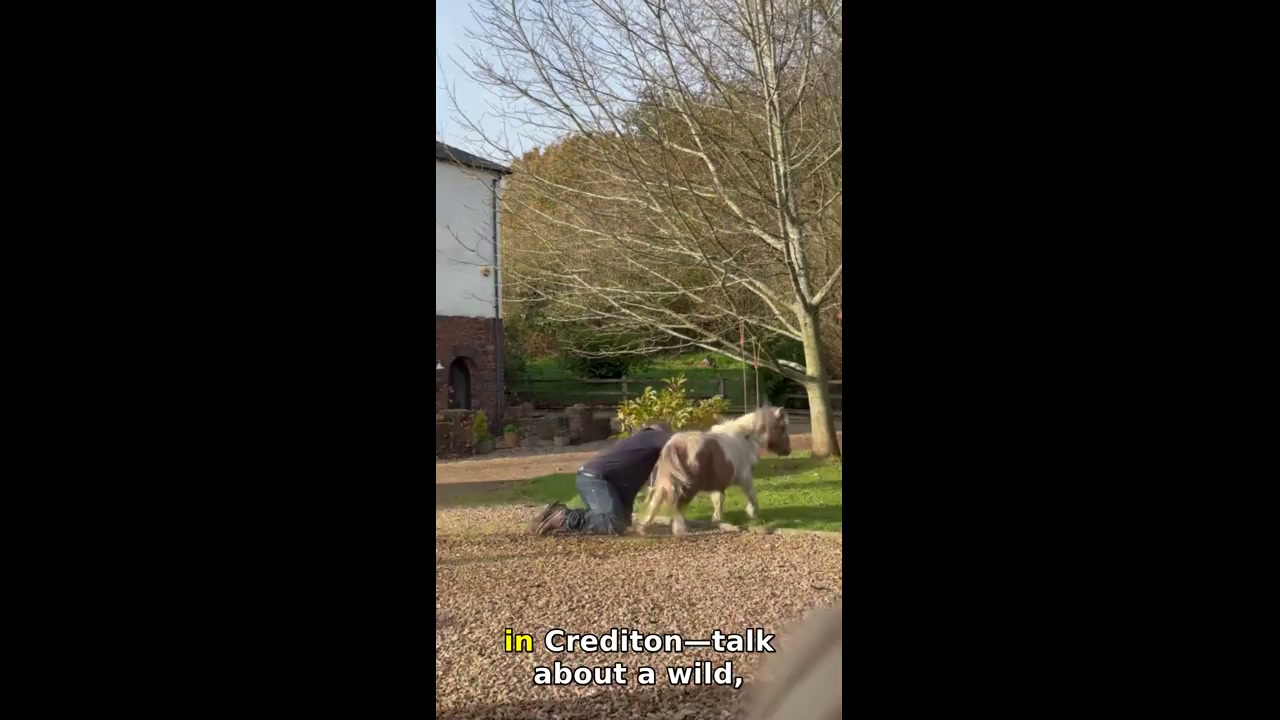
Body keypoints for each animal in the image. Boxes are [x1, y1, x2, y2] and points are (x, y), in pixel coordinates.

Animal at [637, 406, 791, 536]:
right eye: (782, 428)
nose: (787, 451)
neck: (743, 439)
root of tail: (674, 446)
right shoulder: (744, 477)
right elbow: (751, 494)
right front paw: (753, 514)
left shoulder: (718, 484)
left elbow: (718, 500)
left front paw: (718, 520)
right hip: (688, 487)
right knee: (676, 505)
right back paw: (679, 529)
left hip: (666, 483)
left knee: (656, 502)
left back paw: (644, 527)